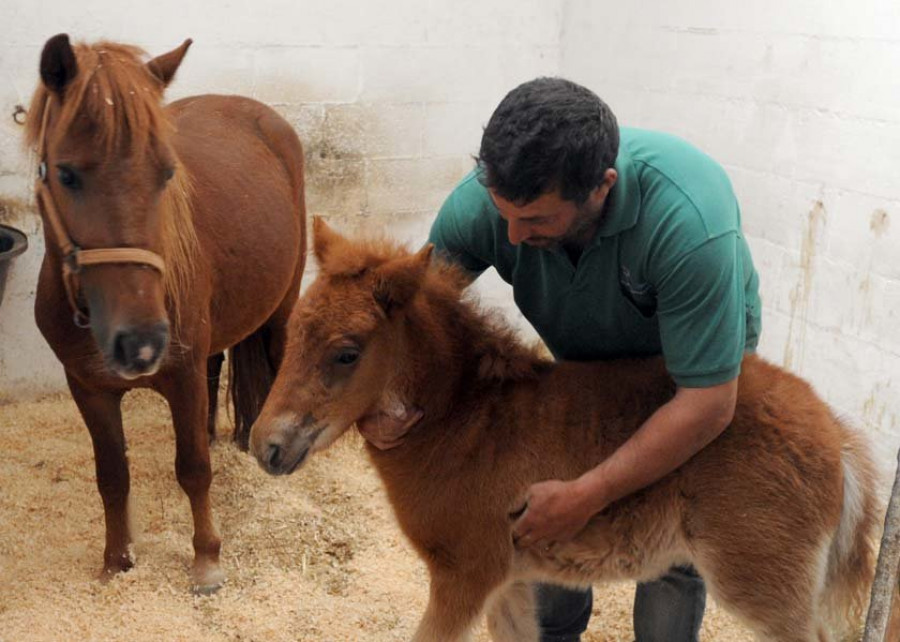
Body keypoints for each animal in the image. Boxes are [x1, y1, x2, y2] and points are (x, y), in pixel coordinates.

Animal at [24, 35, 306, 592]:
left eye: (167, 172)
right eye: (65, 173)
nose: (141, 343)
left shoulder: (181, 374)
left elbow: (193, 468)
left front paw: (207, 561)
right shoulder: (88, 387)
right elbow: (112, 475)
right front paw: (117, 560)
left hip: (279, 314)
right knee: (217, 368)